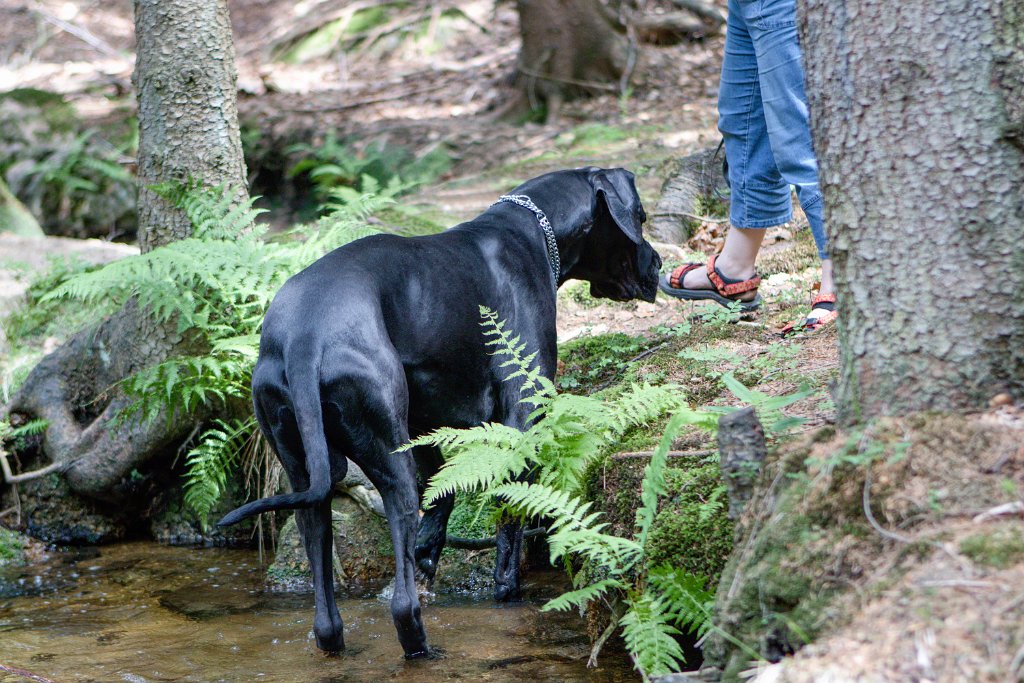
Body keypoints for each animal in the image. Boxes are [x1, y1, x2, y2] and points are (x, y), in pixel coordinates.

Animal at [219, 165, 659, 655]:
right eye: (641, 216)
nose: (659, 265)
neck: (529, 226)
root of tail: (305, 335)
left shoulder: (426, 418)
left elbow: (443, 488)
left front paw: (428, 550)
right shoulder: (521, 420)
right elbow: (509, 522)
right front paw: (505, 588)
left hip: (305, 473)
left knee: (326, 610)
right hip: (389, 462)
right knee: (402, 602)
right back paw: (421, 644)